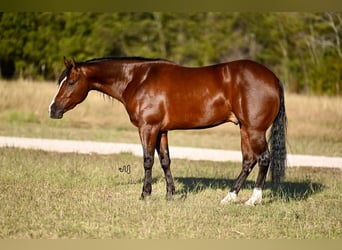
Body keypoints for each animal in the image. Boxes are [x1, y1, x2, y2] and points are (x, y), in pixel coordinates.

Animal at [49, 56, 288, 205]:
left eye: (70, 82)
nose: (53, 110)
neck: (137, 79)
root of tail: (274, 78)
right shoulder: (161, 131)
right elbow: (165, 160)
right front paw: (170, 194)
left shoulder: (148, 128)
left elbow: (147, 160)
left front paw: (145, 195)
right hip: (245, 129)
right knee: (248, 161)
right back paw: (229, 197)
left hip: (254, 130)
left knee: (263, 158)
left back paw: (253, 199)